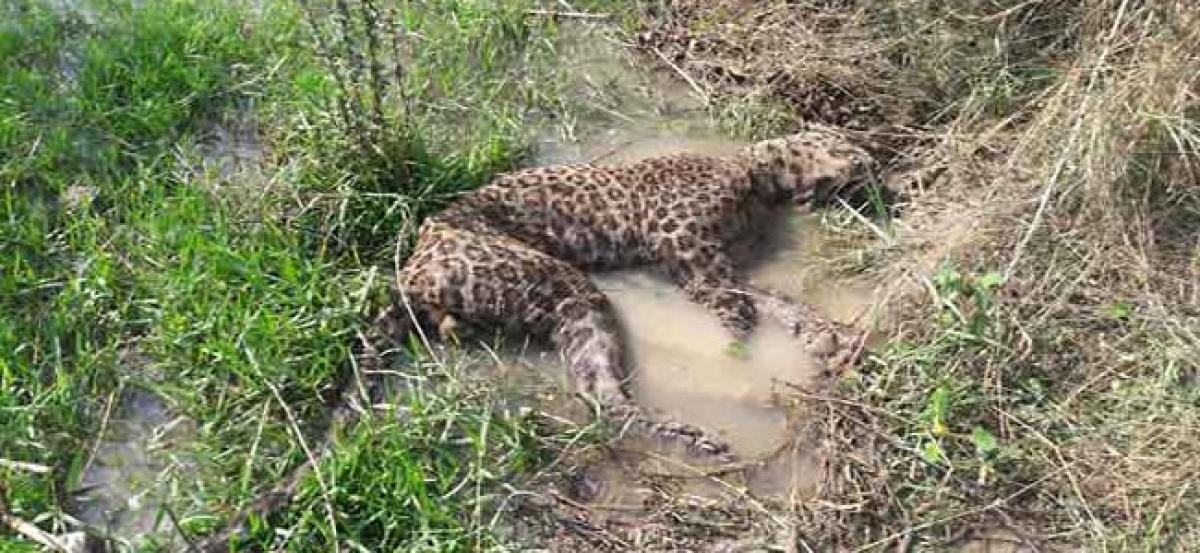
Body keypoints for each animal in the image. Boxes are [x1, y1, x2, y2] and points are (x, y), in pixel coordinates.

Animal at [388, 127, 878, 458]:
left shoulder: (710, 262)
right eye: (847, 147)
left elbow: (772, 298)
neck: (759, 183)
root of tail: (414, 262)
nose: (873, 165)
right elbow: (734, 298)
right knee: (602, 394)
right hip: (564, 285)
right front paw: (744, 331)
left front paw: (823, 336)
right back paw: (689, 439)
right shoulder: (683, 242)